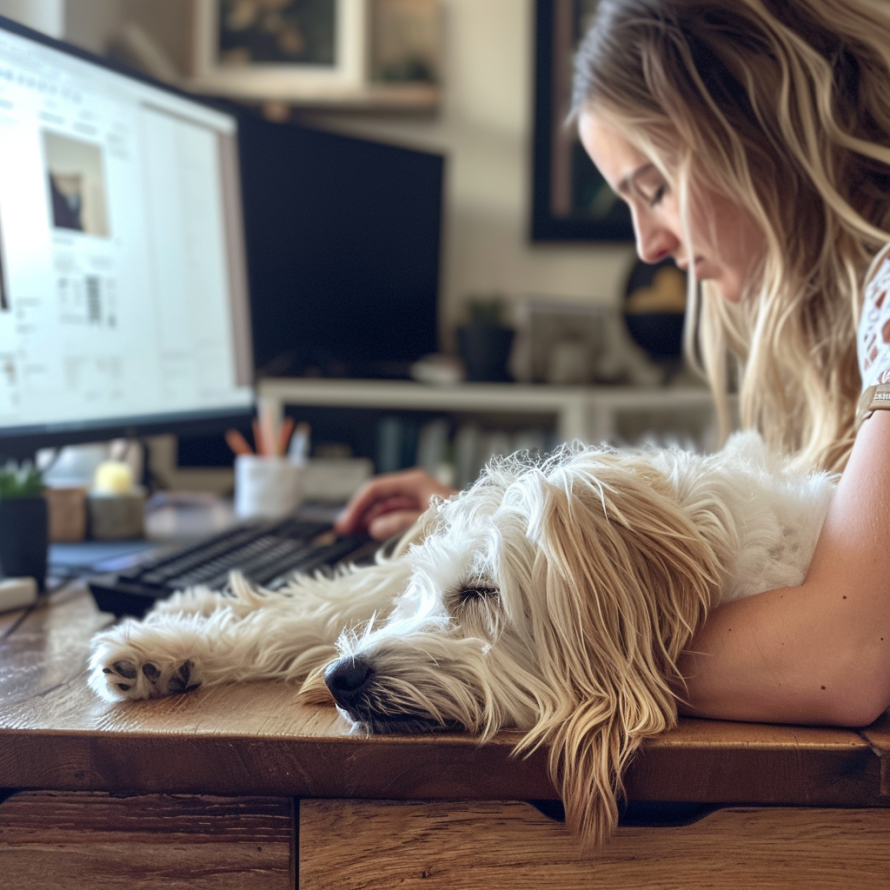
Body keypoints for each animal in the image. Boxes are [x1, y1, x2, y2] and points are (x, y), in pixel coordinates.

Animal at [86, 434, 828, 844]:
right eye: (432, 594)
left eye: (479, 592)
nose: (340, 679)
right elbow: (303, 613)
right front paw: (169, 646)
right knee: (301, 603)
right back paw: (170, 634)